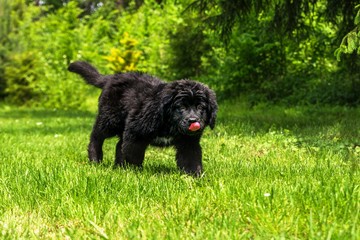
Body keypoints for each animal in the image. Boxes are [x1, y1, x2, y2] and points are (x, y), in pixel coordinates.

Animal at [69, 61, 218, 175]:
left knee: (118, 144)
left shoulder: (188, 141)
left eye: (201, 107)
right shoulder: (136, 132)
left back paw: (118, 166)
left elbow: (191, 157)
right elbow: (133, 154)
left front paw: (195, 176)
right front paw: (134, 172)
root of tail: (112, 78)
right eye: (181, 107)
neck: (168, 122)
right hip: (110, 119)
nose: (193, 121)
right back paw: (96, 160)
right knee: (96, 137)